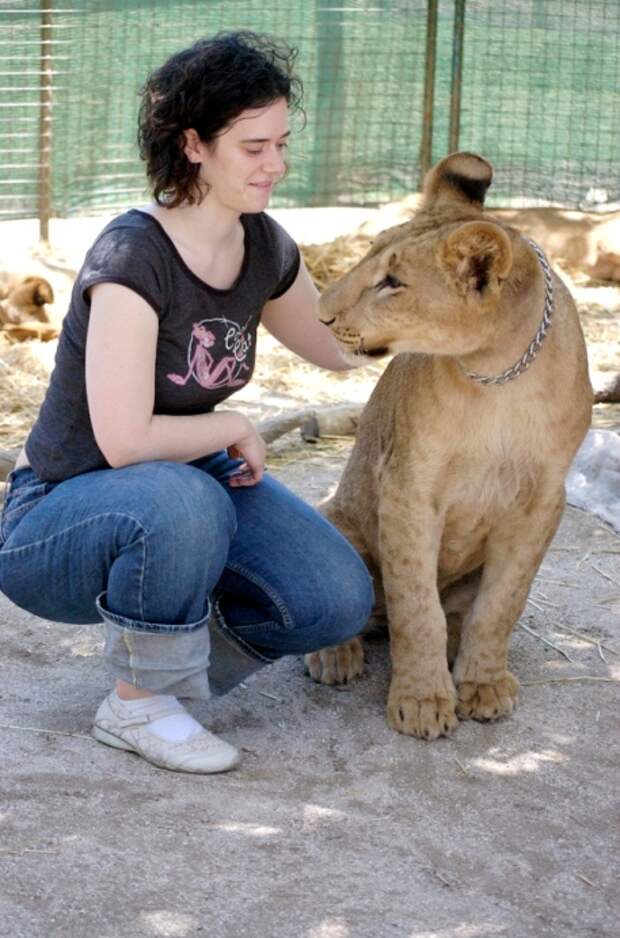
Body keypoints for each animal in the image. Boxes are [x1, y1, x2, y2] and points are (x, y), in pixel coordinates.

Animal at [308, 152, 592, 740]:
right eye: (368, 255)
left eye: (393, 282)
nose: (322, 312)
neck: (498, 375)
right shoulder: (408, 487)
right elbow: (417, 607)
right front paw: (421, 700)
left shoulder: (543, 501)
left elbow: (502, 604)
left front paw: (482, 684)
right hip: (335, 518)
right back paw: (336, 654)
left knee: (457, 613)